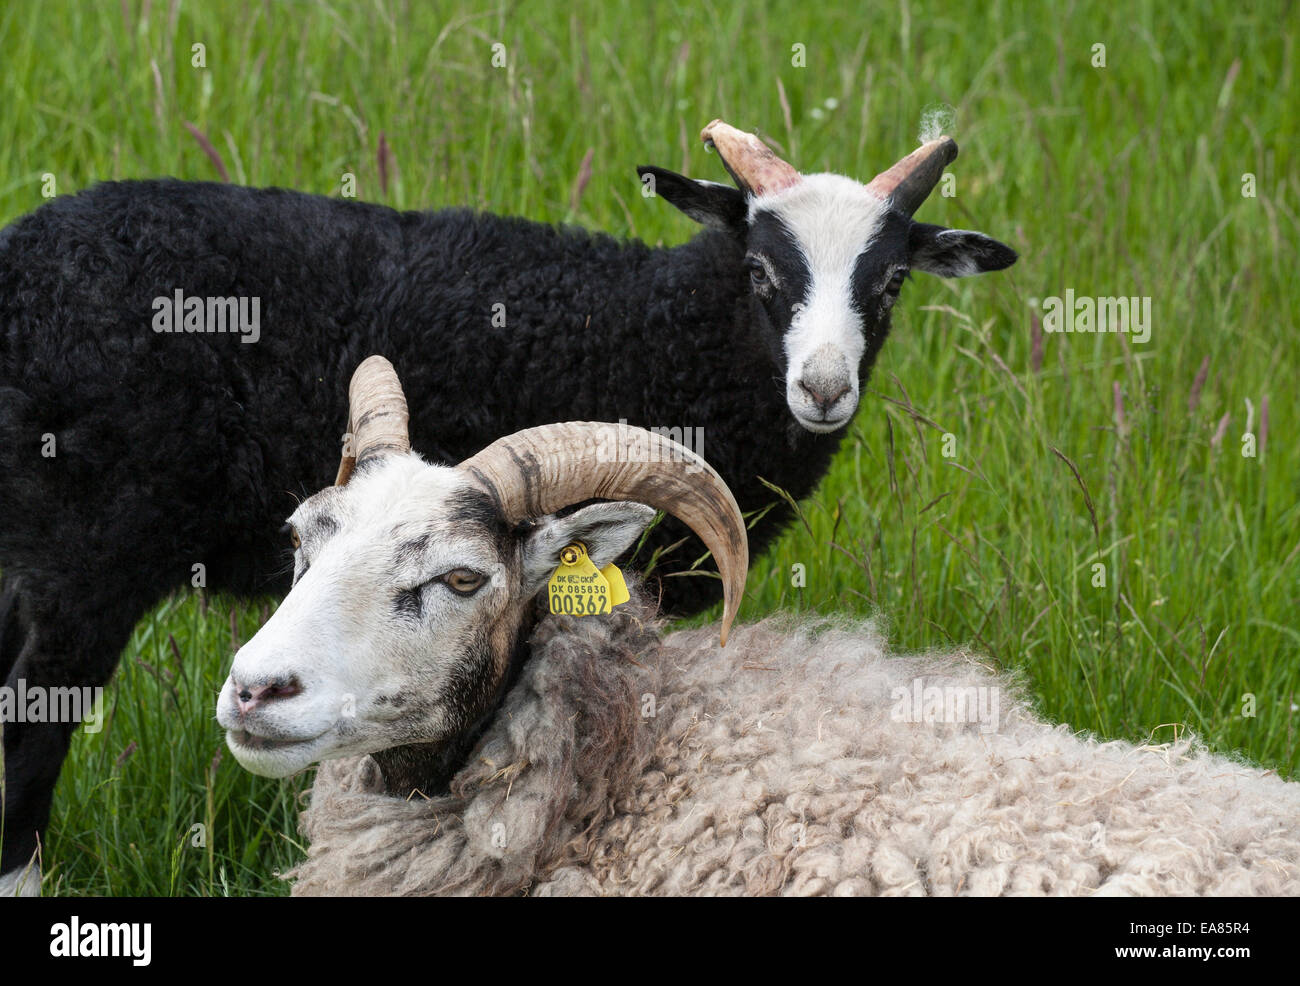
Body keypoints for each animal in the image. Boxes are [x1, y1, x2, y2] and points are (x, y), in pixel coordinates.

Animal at [0, 119, 1013, 889]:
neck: (669, 331)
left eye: (890, 282)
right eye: (762, 272)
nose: (824, 388)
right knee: (26, 735)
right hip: (81, 561)